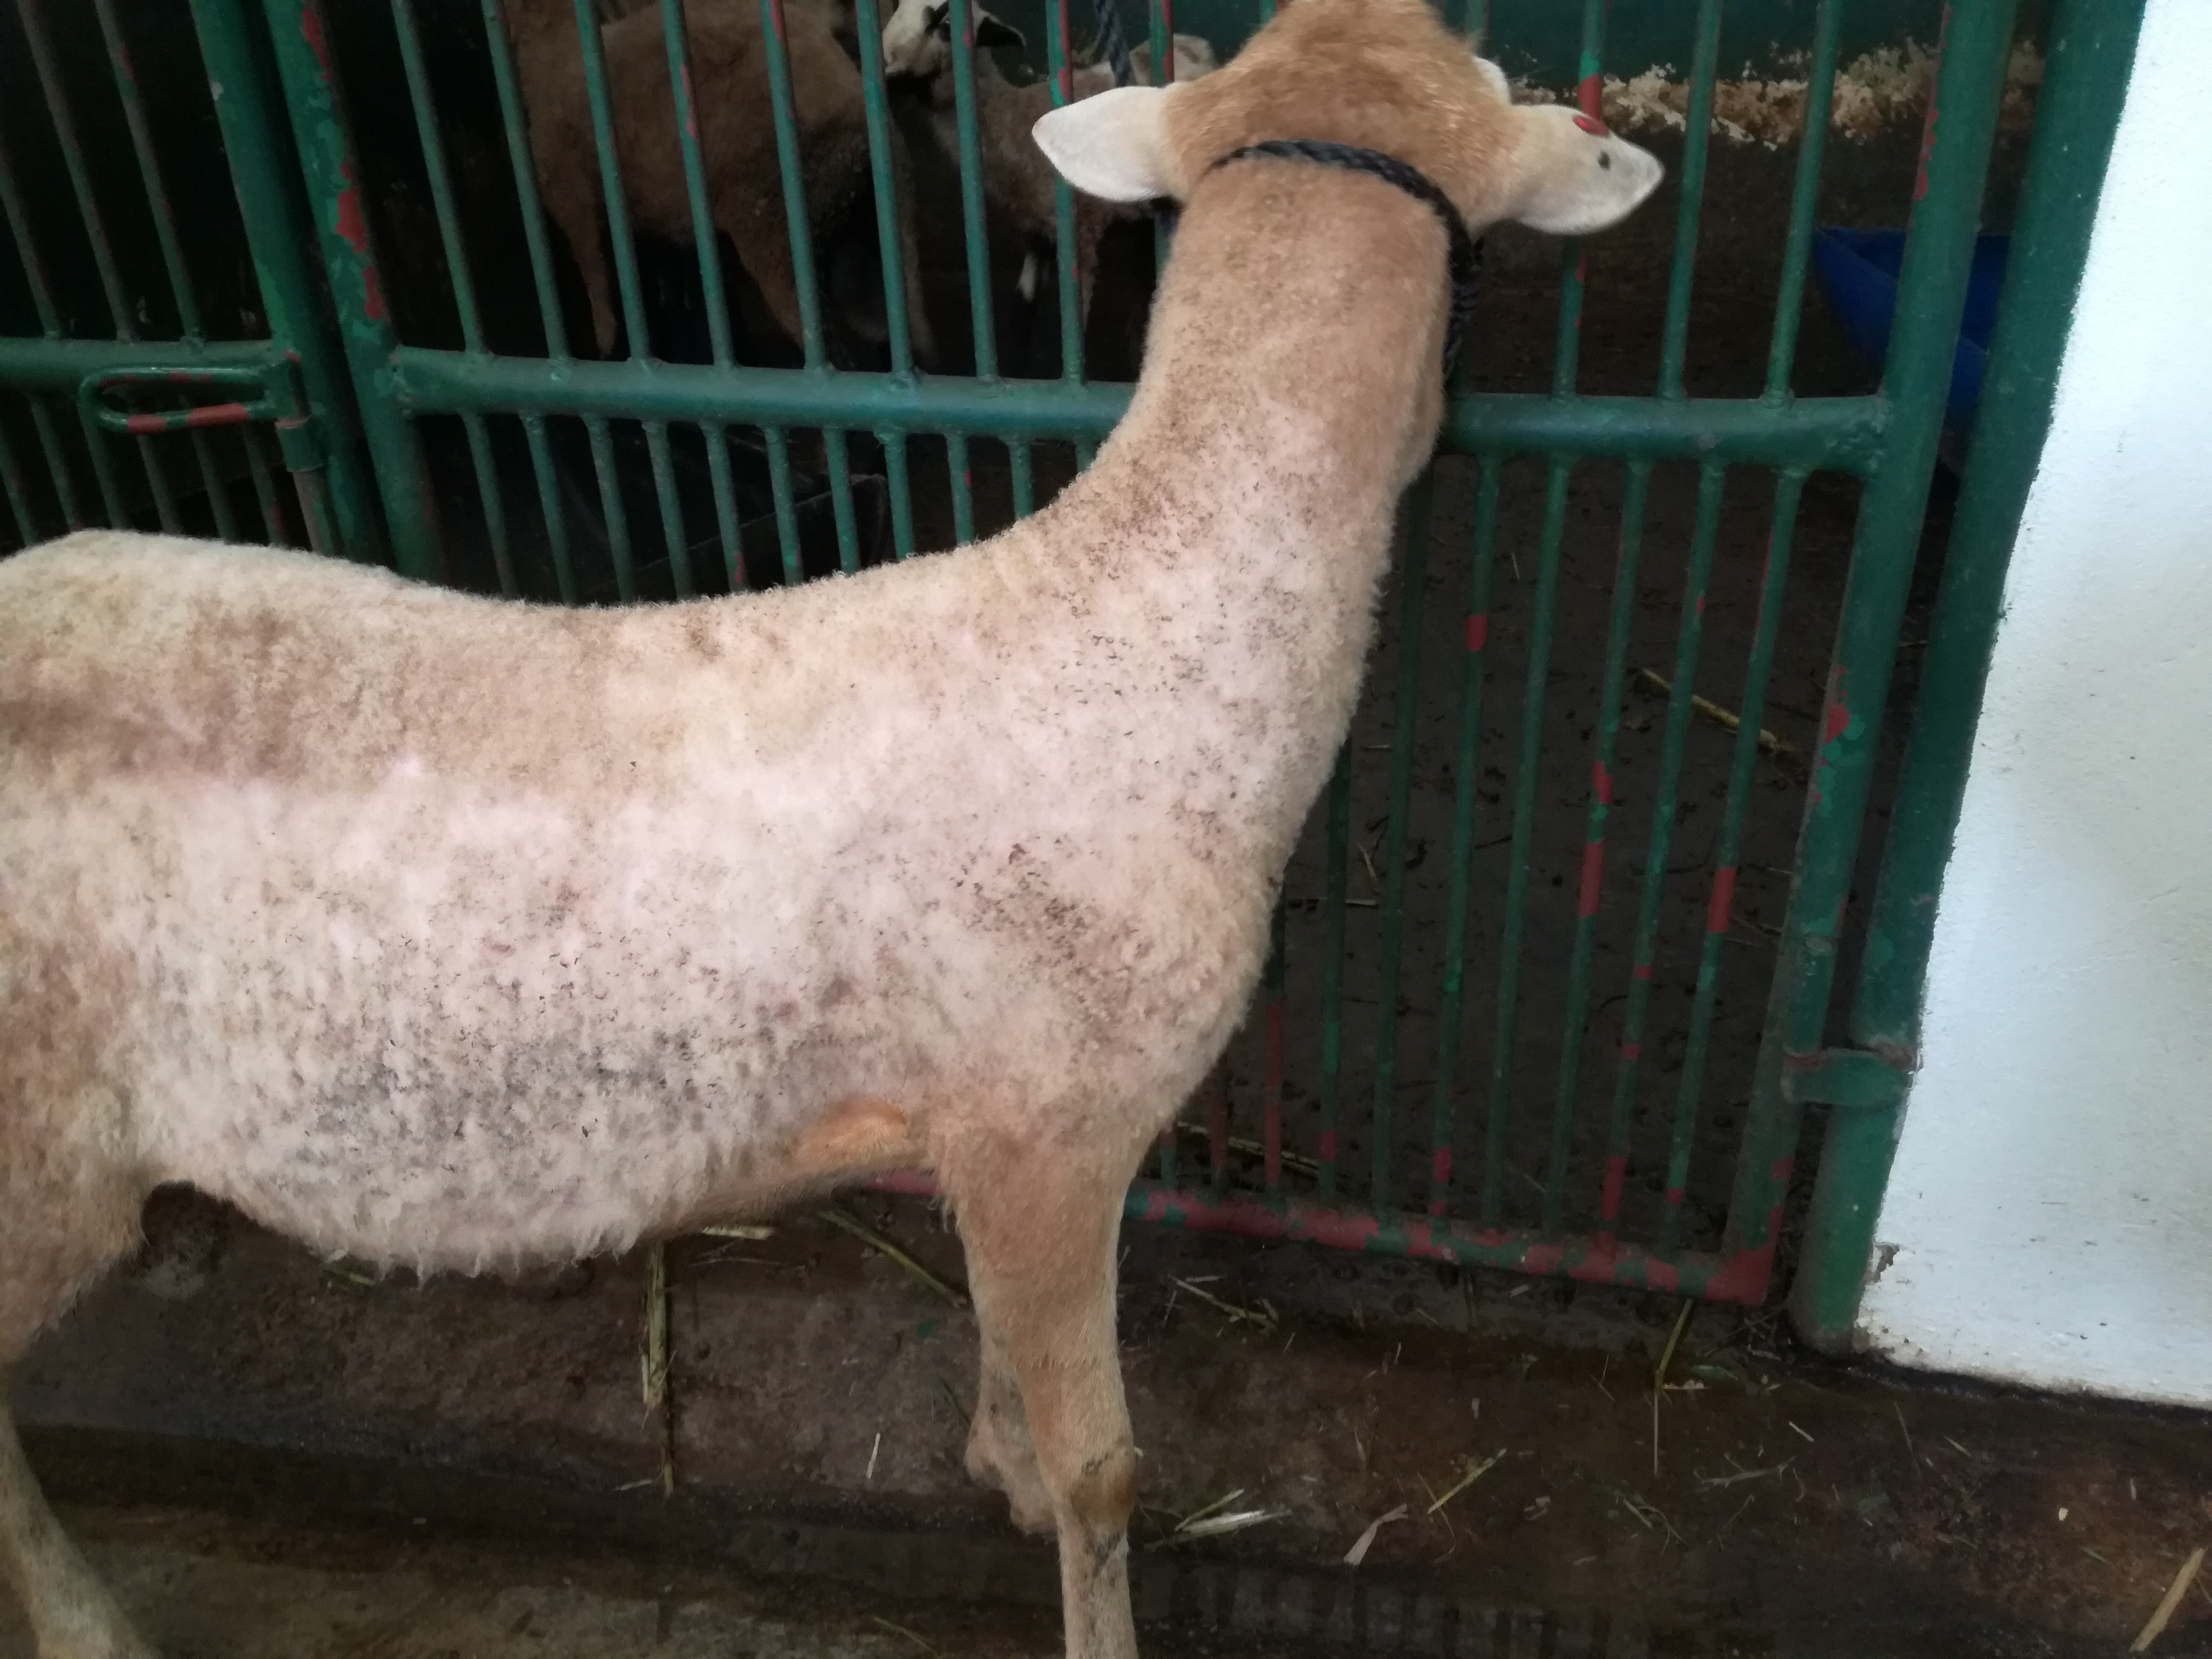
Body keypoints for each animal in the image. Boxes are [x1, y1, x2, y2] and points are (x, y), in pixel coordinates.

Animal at [504, 0, 937, 365]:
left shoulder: (569, 194)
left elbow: (599, 278)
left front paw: (607, 347)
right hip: (891, 220)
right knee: (906, 331)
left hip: (776, 229)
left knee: (833, 352)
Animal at [879, 0, 1218, 333]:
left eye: (945, 26)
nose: (888, 77)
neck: (1012, 121)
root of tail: (1195, 44)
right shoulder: (1033, 232)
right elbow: (1021, 311)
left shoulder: (1081, 232)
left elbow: (1074, 322)